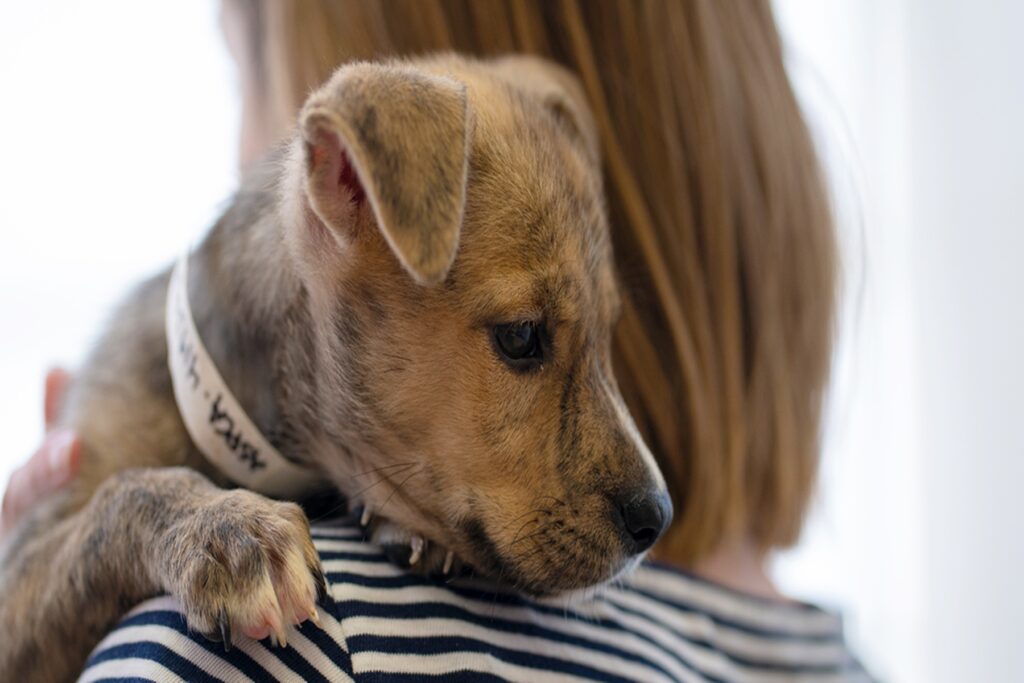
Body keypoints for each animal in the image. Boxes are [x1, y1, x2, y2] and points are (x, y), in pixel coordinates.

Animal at [0, 54, 667, 683]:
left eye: (607, 331)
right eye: (522, 336)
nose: (657, 520)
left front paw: (401, 529)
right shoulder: (25, 556)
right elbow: (121, 496)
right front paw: (226, 530)